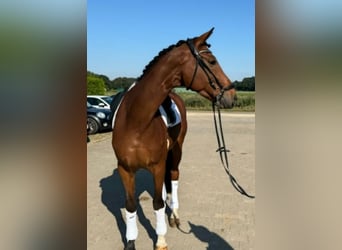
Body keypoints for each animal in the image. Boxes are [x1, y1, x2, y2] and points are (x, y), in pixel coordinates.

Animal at [111, 28, 235, 249]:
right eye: (212, 61)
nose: (233, 95)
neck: (136, 120)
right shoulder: (125, 169)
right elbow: (131, 206)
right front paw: (130, 241)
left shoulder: (157, 166)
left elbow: (158, 203)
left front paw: (160, 239)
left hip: (176, 151)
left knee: (174, 177)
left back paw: (174, 216)